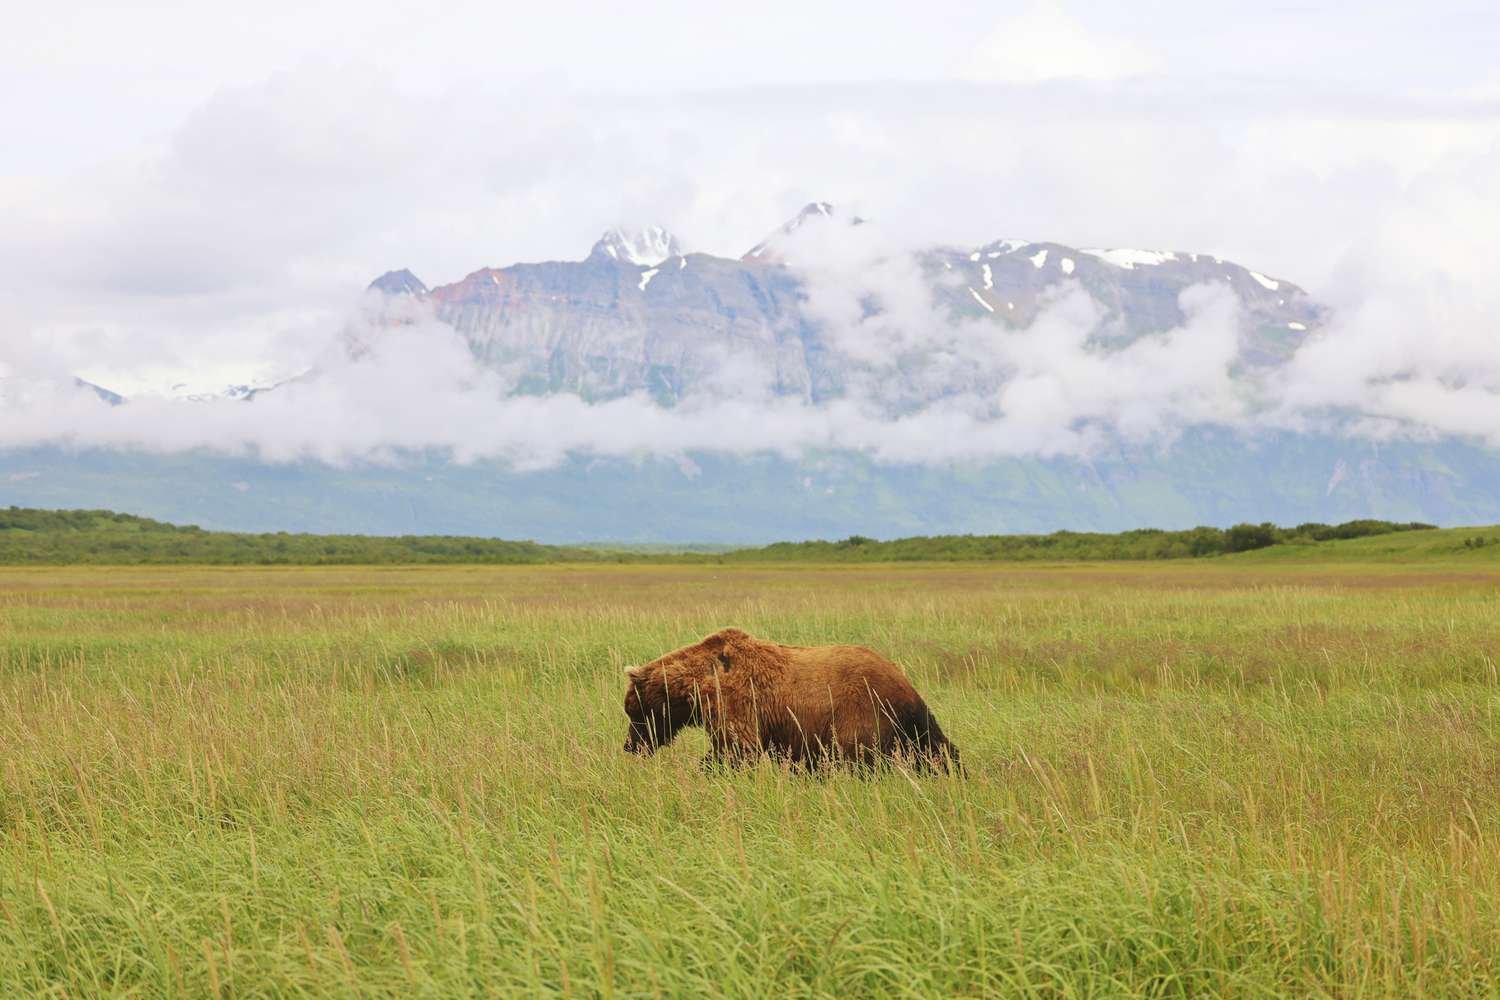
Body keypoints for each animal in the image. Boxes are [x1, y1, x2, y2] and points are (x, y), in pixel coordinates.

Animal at [621, 627, 960, 773]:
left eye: (634, 712)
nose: (629, 746)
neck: (701, 684)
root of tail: (904, 681)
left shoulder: (738, 703)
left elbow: (735, 749)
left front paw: (711, 770)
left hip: (866, 711)